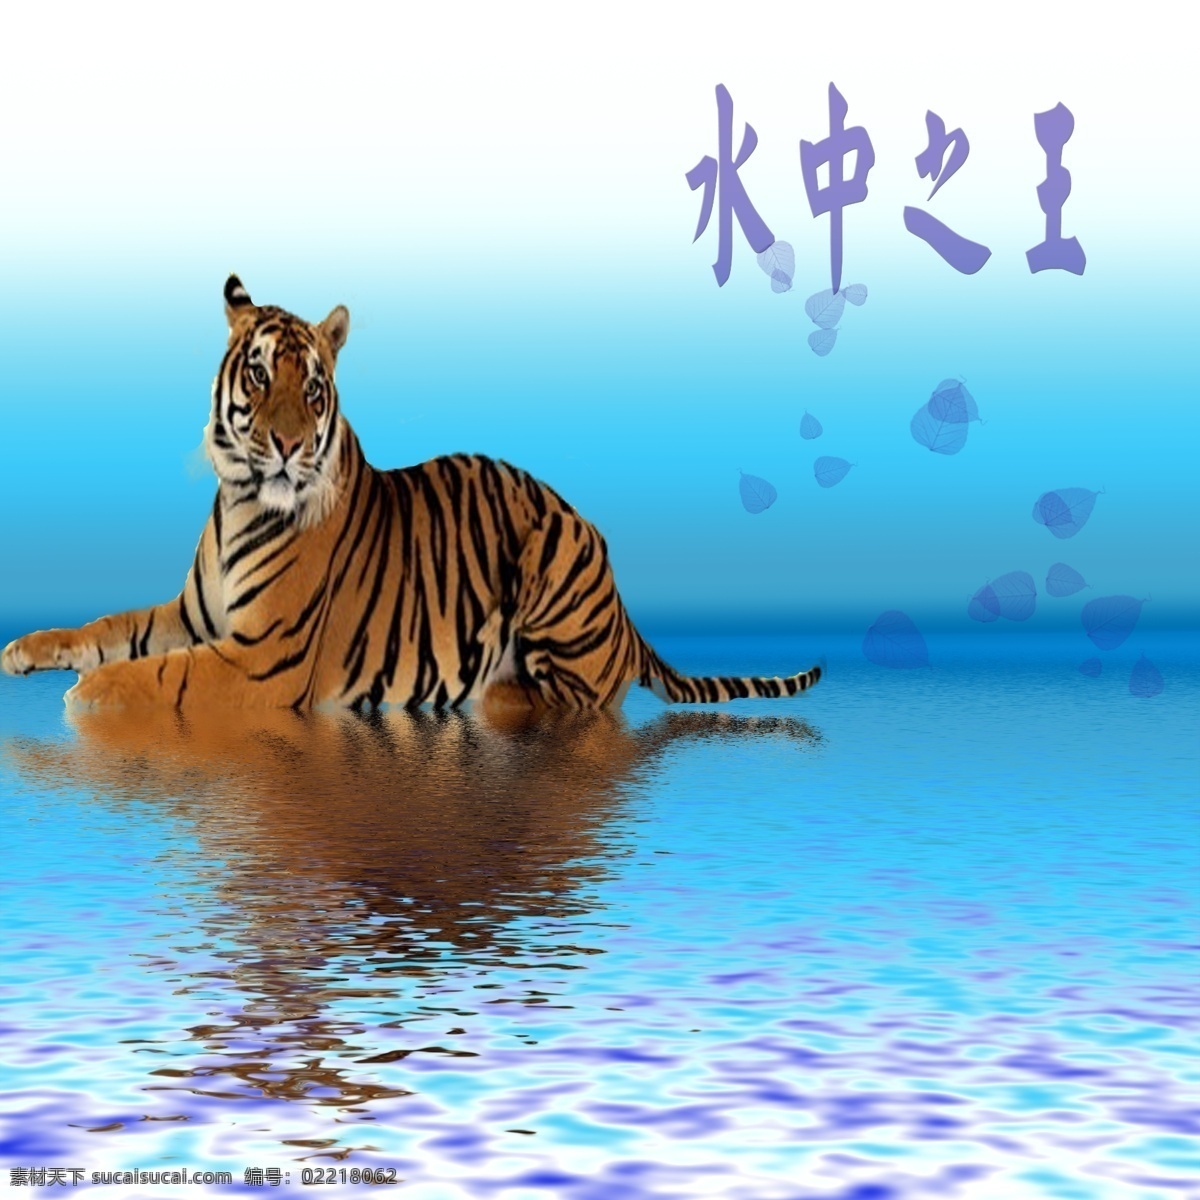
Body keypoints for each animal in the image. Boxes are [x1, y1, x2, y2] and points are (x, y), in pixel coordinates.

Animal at [1, 276, 823, 712]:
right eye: (259, 375)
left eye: (312, 388)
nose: (288, 445)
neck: (239, 500)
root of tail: (625, 615)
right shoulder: (191, 614)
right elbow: (110, 626)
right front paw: (24, 650)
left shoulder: (261, 657)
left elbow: (159, 672)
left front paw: (87, 694)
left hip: (554, 556)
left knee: (578, 703)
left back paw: (497, 697)